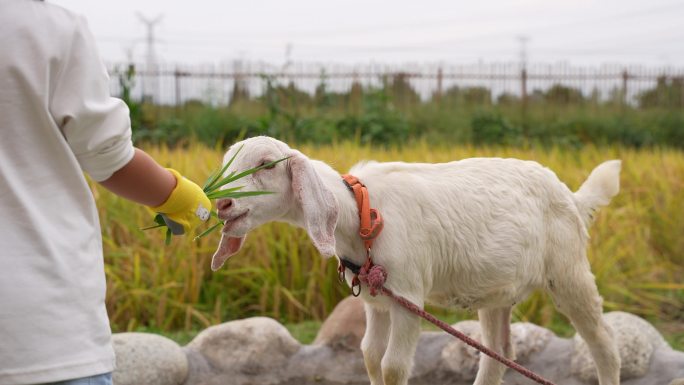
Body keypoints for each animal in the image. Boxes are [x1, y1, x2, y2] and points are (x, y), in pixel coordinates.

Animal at [211, 136, 624, 384]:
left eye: (267, 164)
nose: (222, 202)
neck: (360, 212)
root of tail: (573, 197)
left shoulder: (408, 296)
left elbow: (393, 366)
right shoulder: (377, 301)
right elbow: (370, 355)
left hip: (569, 270)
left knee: (603, 344)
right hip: (497, 291)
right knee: (498, 353)